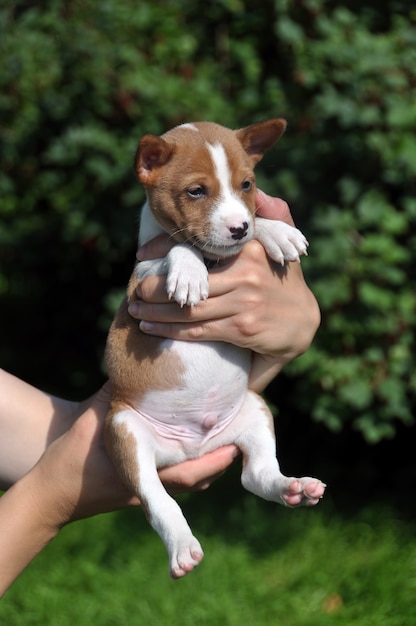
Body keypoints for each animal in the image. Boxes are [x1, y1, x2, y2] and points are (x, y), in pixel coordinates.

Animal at [104, 117, 324, 576]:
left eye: (247, 184)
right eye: (196, 191)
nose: (238, 228)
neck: (217, 262)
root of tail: (192, 447)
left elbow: (255, 225)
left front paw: (276, 232)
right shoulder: (141, 281)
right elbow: (180, 245)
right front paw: (190, 272)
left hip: (255, 410)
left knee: (255, 474)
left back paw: (293, 487)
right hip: (124, 432)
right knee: (156, 500)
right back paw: (182, 547)